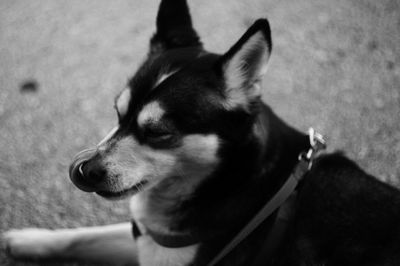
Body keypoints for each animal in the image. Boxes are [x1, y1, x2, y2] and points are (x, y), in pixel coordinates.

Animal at [4, 0, 400, 264]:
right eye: (118, 113)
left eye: (158, 132)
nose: (85, 171)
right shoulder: (146, 238)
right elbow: (86, 237)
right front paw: (27, 239)